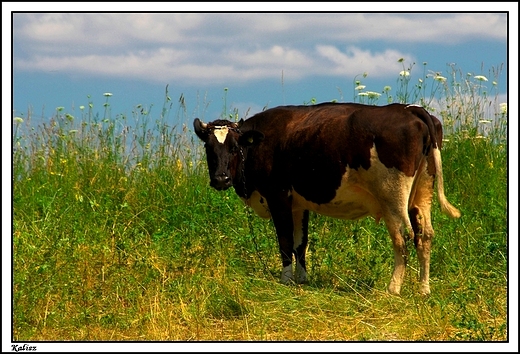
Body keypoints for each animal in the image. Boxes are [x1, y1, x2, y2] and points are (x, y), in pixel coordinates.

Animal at [193, 103, 462, 296]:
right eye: (209, 148)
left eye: (234, 147)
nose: (220, 178)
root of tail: (410, 109)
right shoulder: (298, 204)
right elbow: (300, 243)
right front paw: (302, 279)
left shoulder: (278, 196)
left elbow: (285, 241)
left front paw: (286, 279)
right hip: (422, 193)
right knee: (425, 235)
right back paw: (424, 289)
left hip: (393, 197)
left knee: (403, 237)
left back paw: (393, 288)